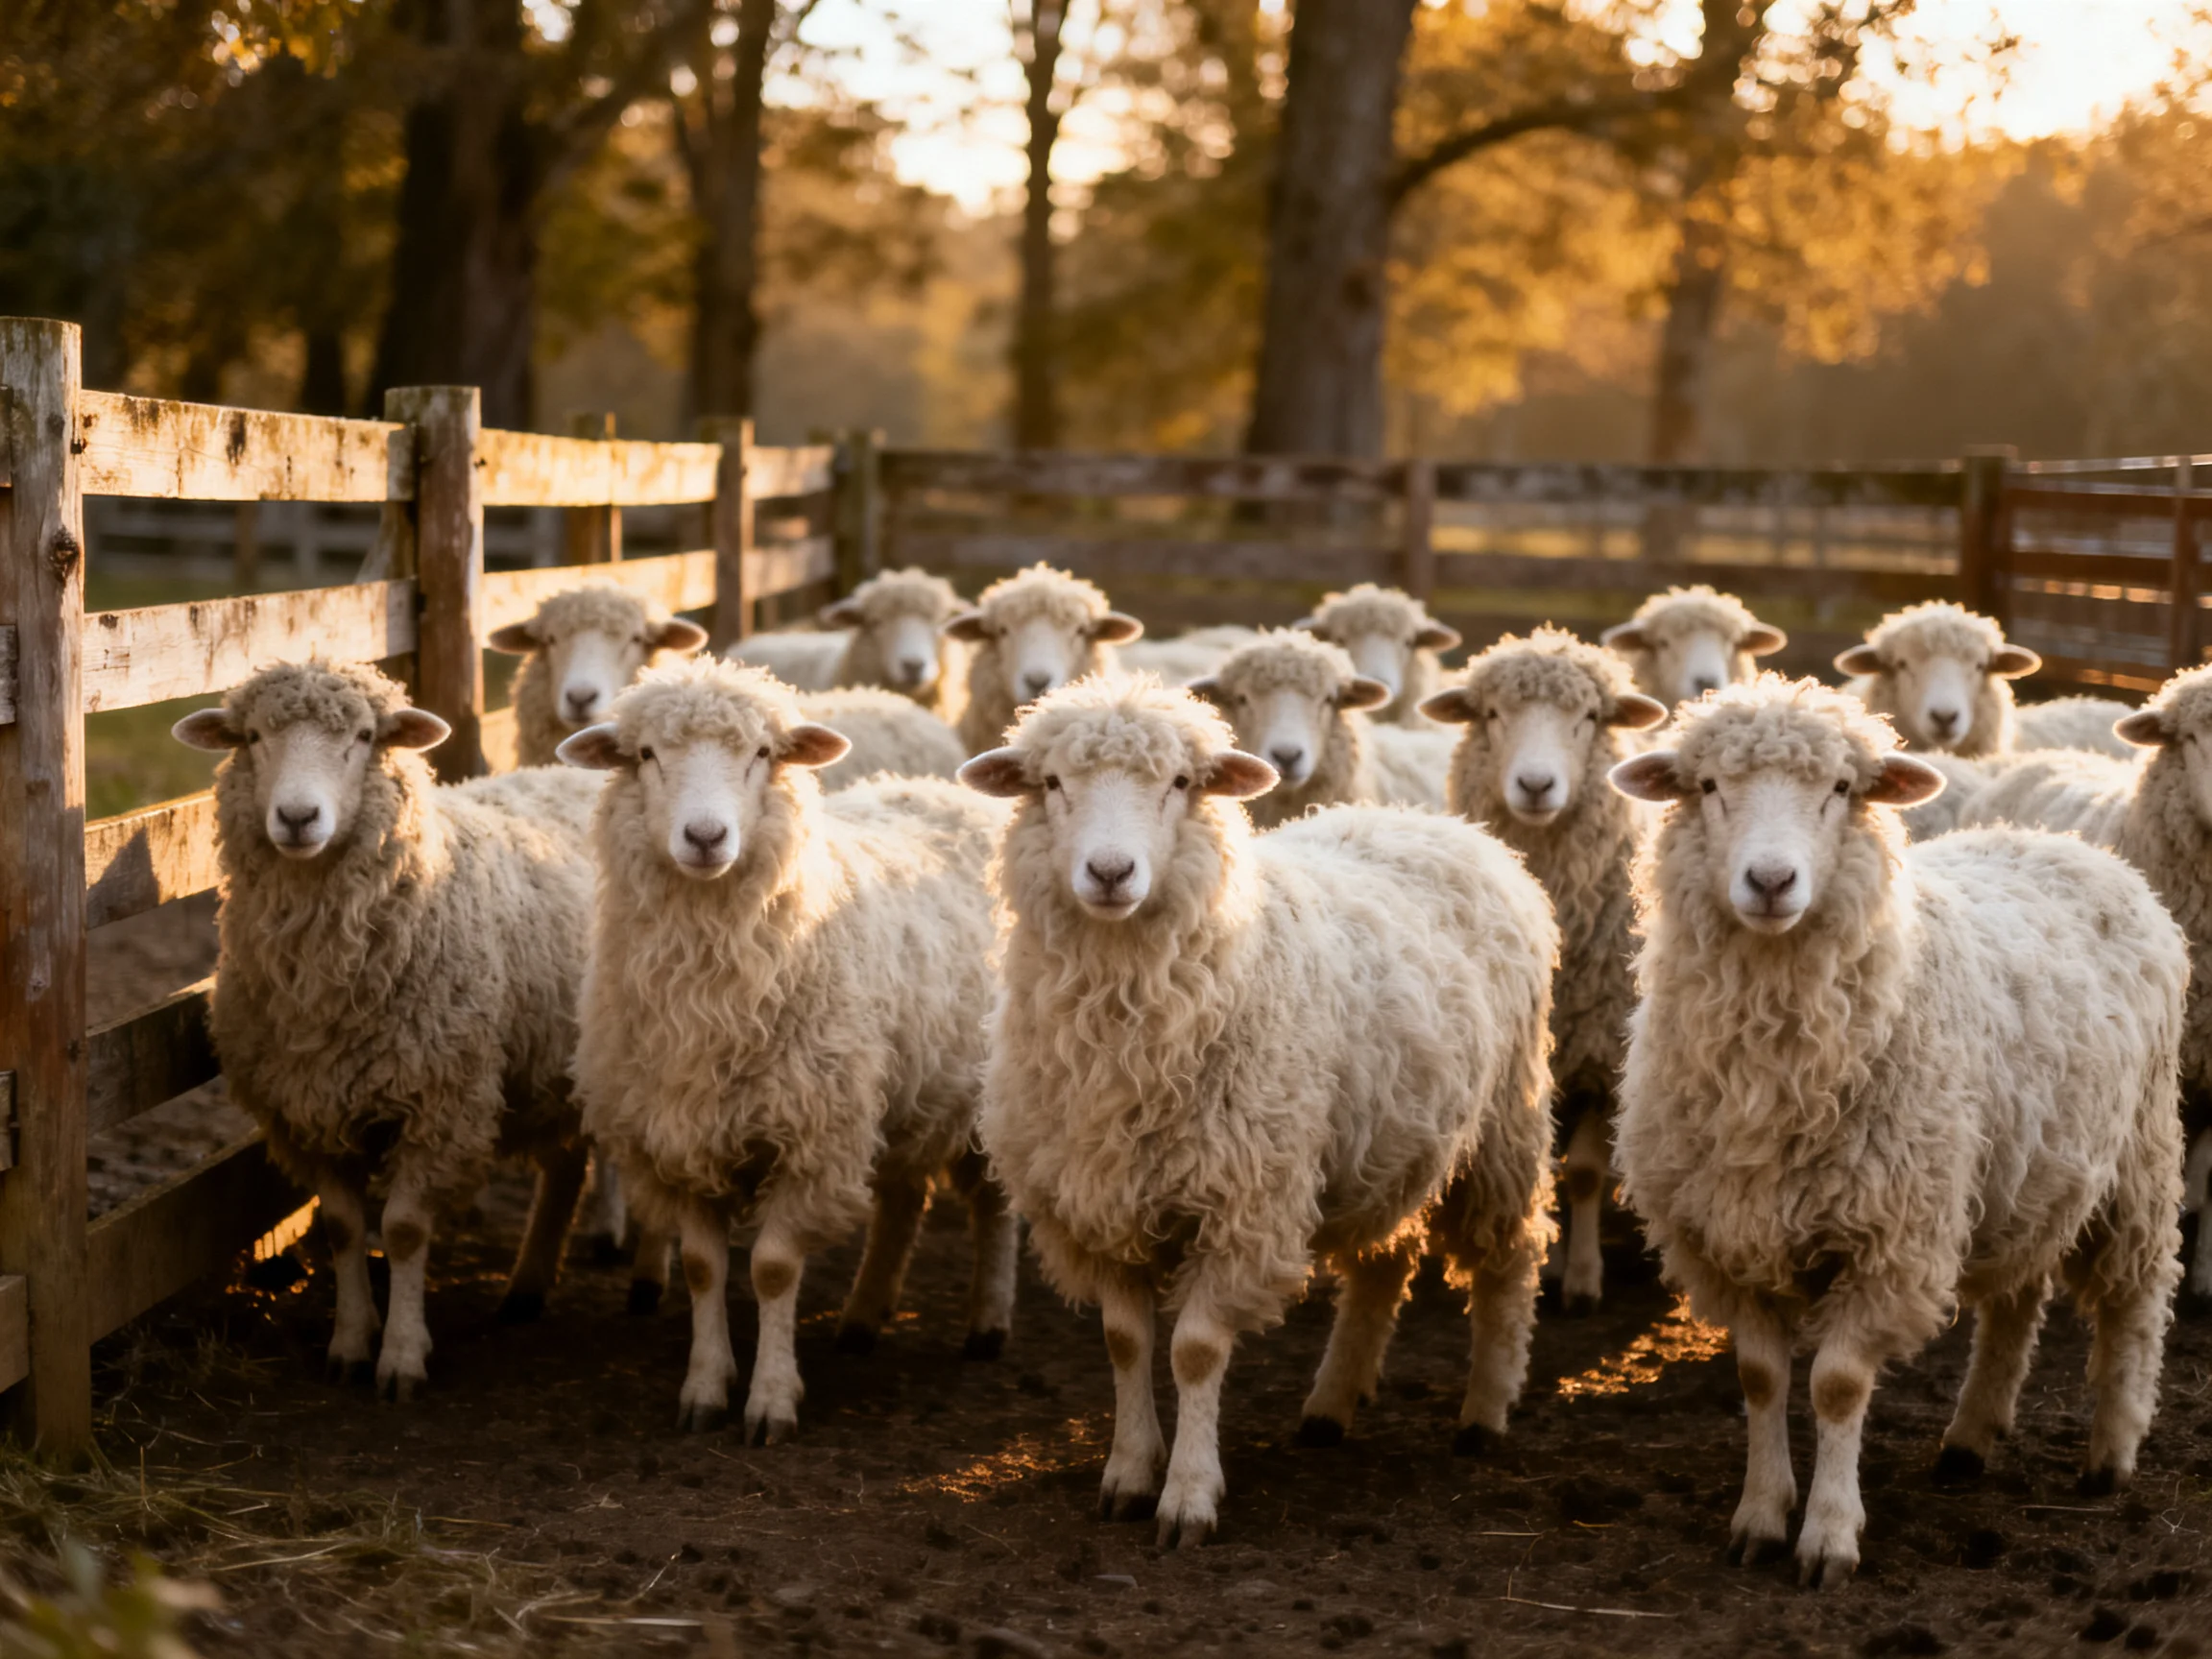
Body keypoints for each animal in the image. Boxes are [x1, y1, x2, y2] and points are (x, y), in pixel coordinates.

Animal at [172, 660, 604, 1401]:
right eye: (253, 737)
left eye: (365, 737)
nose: (297, 817)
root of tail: (563, 770)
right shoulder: (306, 1108)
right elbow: (345, 1229)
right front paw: (350, 1343)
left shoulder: (440, 1103)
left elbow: (401, 1230)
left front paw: (402, 1355)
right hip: (551, 1068)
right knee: (566, 1165)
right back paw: (526, 1287)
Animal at [559, 658, 1017, 1439]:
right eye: (646, 754)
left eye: (762, 754)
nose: (705, 836)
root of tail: (947, 791)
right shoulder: (678, 1138)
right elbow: (704, 1267)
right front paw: (705, 1389)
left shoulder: (813, 1135)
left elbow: (772, 1269)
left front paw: (771, 1400)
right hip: (898, 1089)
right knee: (903, 1198)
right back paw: (863, 1319)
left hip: (979, 1095)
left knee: (991, 1205)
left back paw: (988, 1324)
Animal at [960, 676, 1559, 1547]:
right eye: (1052, 784)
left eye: (1180, 783)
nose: (1110, 871)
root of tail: (1447, 826)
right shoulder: (1100, 1201)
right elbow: (1125, 1342)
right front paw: (1129, 1473)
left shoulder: (1243, 1202)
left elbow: (1195, 1351)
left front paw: (1188, 1496)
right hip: (1389, 1139)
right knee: (1384, 1263)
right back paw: (1331, 1407)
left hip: (1504, 1126)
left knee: (1510, 1258)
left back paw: (1484, 1412)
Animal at [1418, 628, 1668, 1314]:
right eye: (1492, 714)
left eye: (1588, 718)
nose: (1535, 784)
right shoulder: (1539, 1059)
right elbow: (1544, 1166)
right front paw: (1551, 1260)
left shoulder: (1603, 1052)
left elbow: (1581, 1171)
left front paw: (1581, 1278)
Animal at [1609, 675, 2184, 1588]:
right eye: (1707, 786)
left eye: (1842, 789)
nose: (1770, 880)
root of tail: (2066, 846)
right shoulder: (1727, 1234)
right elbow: (1761, 1378)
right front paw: (1760, 1516)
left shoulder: (1892, 1234)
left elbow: (1838, 1386)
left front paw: (1828, 1536)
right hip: (2021, 1170)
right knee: (2016, 1301)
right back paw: (1970, 1439)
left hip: (2139, 1156)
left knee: (2135, 1299)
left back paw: (2112, 1451)